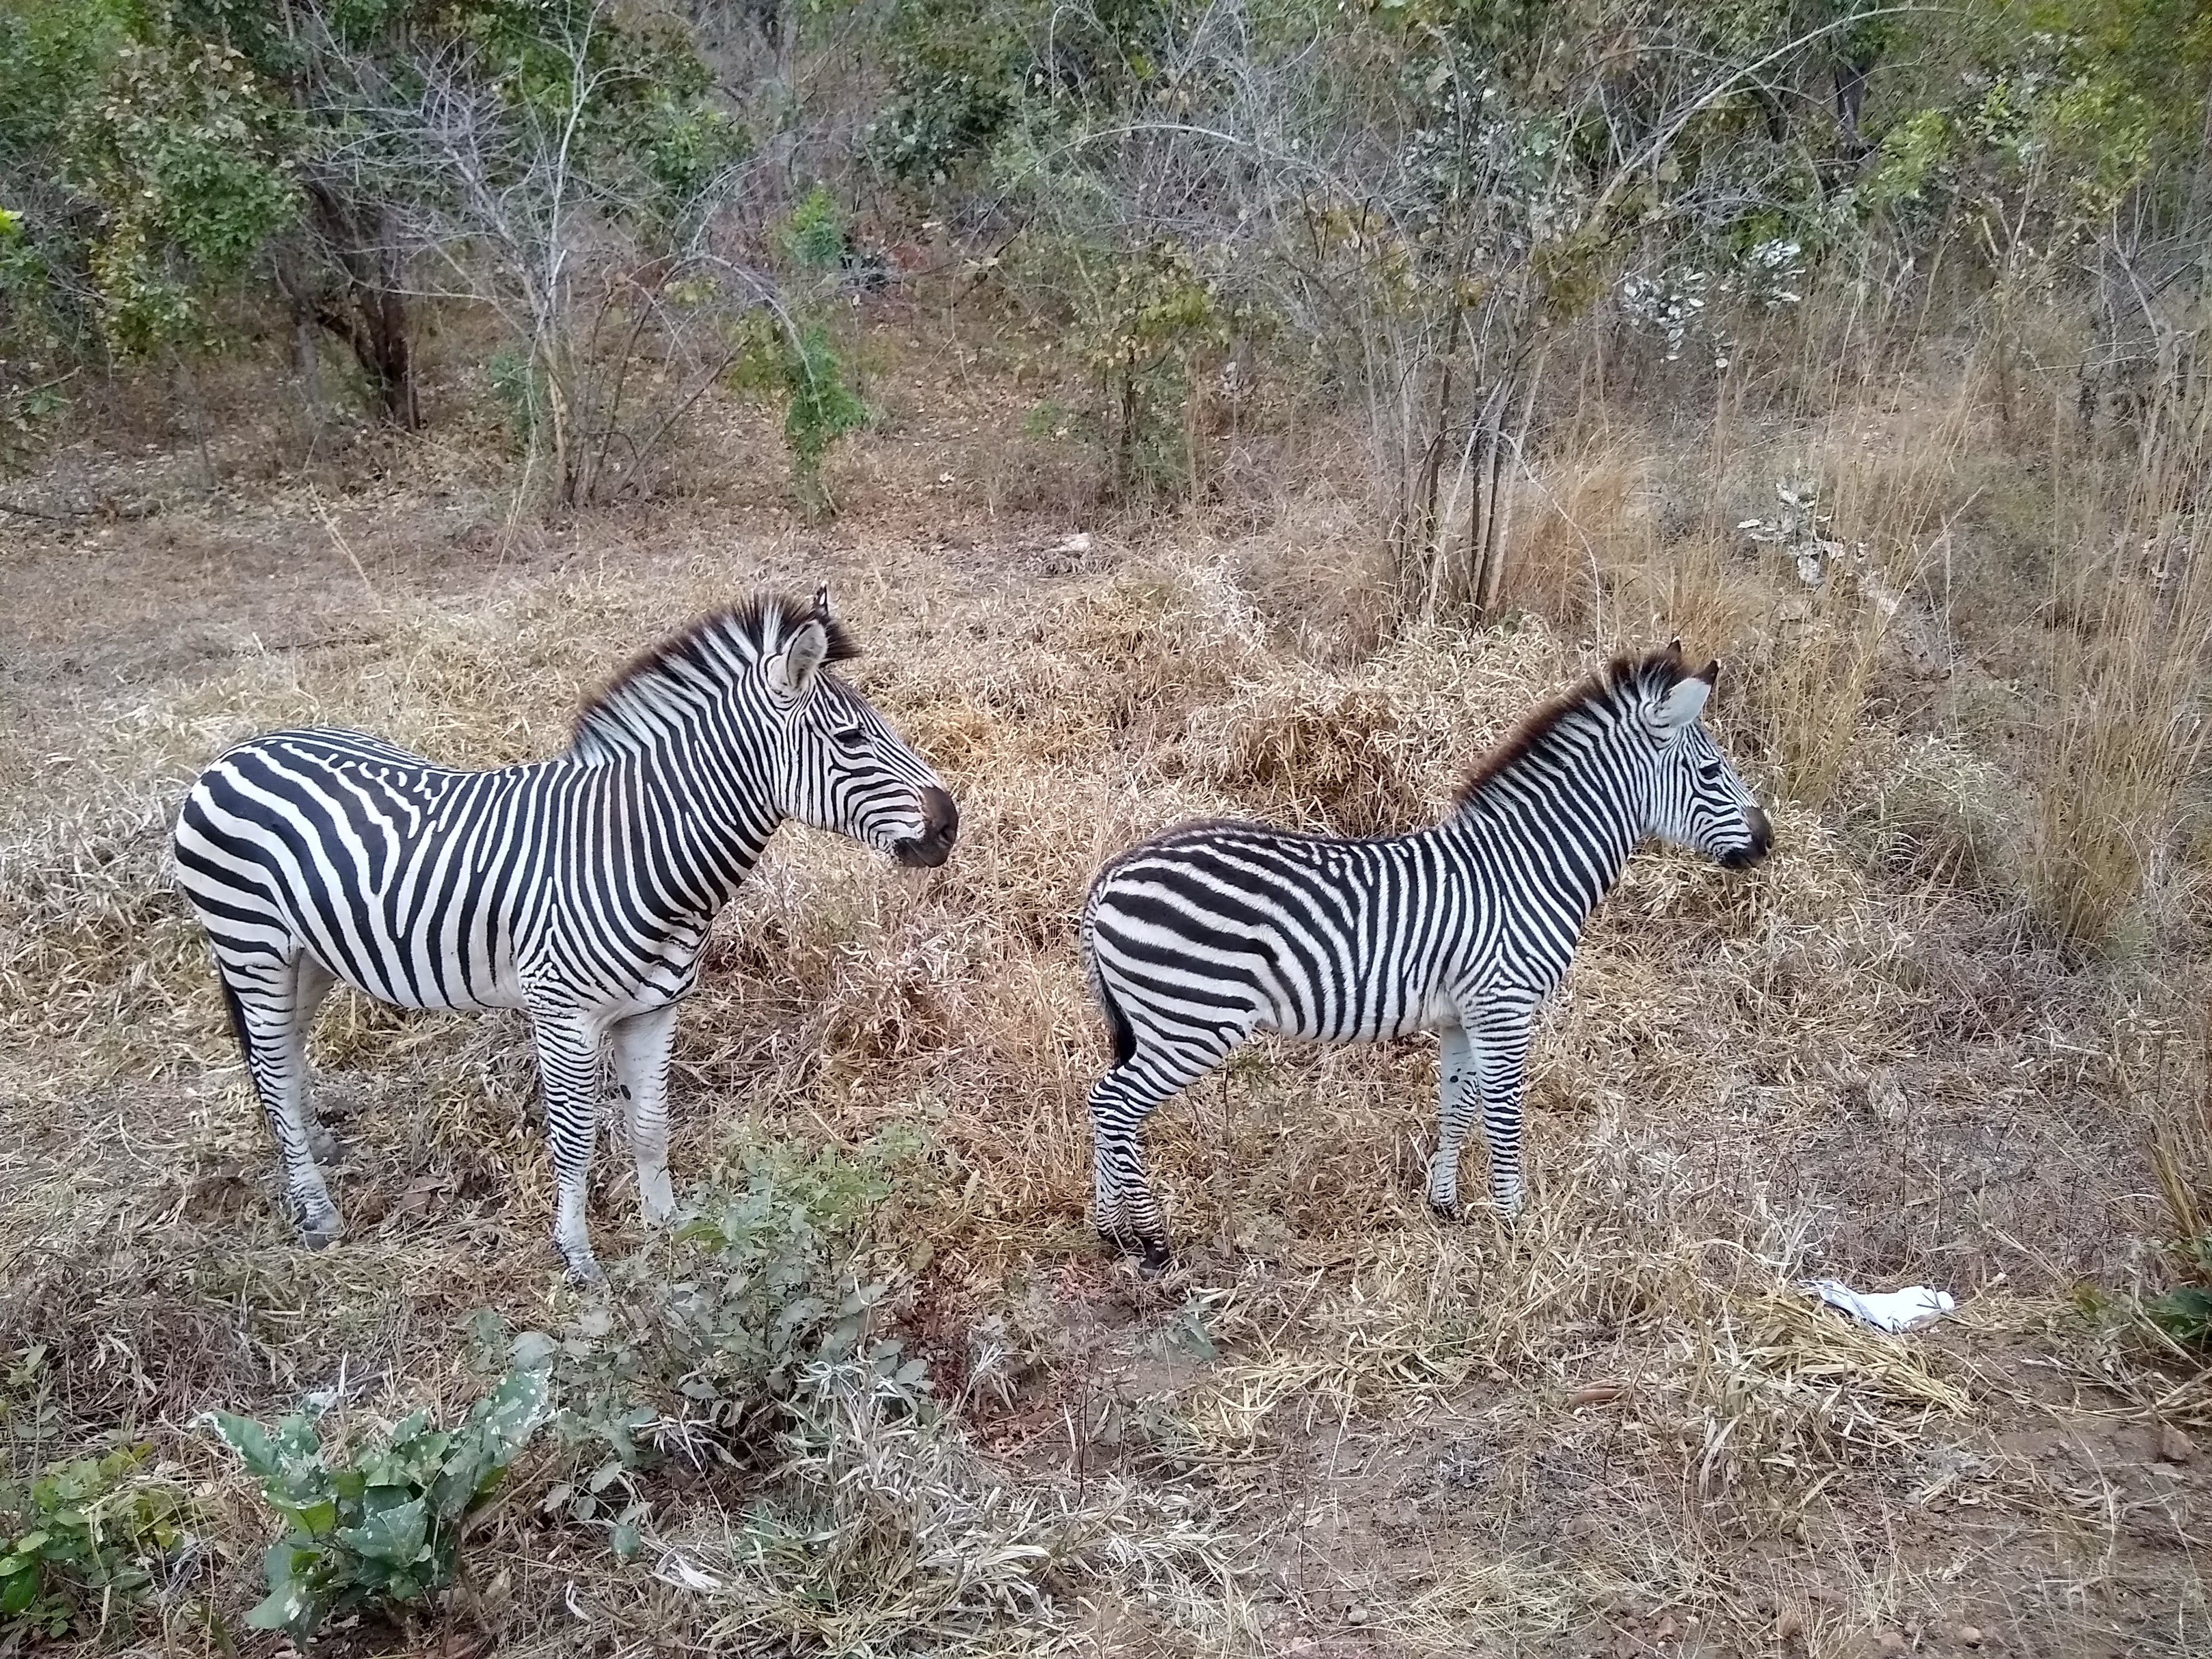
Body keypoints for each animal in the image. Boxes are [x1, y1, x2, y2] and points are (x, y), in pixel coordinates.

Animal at [171, 589, 958, 1283]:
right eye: (851, 738)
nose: (950, 824)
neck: (638, 852)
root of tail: (236, 752)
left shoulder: (654, 1011)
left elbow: (650, 1124)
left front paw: (670, 1229)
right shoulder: (563, 1016)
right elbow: (575, 1139)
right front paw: (577, 1256)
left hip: (309, 956)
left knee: (285, 1058)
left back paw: (316, 1148)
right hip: (251, 947)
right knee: (272, 1071)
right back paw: (318, 1215)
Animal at [1079, 645, 1770, 1271]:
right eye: (1712, 773)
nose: (1767, 842)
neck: (1529, 870)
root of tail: (1110, 877)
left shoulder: (1464, 1015)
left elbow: (1457, 1105)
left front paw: (1446, 1206)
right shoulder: (1505, 1007)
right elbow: (1504, 1116)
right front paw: (1512, 1225)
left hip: (1162, 1021)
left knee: (1107, 1106)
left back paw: (1111, 1232)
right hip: (1194, 1020)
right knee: (1113, 1104)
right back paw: (1153, 1241)